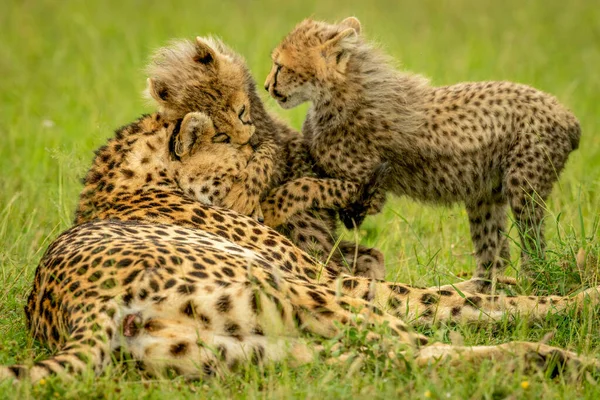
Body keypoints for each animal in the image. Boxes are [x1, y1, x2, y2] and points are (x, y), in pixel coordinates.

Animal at [146, 36, 386, 278]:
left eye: (241, 112)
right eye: (220, 134)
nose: (246, 137)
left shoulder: (273, 140)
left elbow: (265, 157)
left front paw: (244, 194)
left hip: (304, 222)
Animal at [264, 17, 580, 292]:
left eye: (279, 66)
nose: (267, 86)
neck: (336, 95)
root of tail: (567, 115)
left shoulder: (368, 190)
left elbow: (306, 185)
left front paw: (274, 205)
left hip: (523, 189)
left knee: (534, 251)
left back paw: (528, 286)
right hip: (484, 196)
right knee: (494, 258)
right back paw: (466, 290)